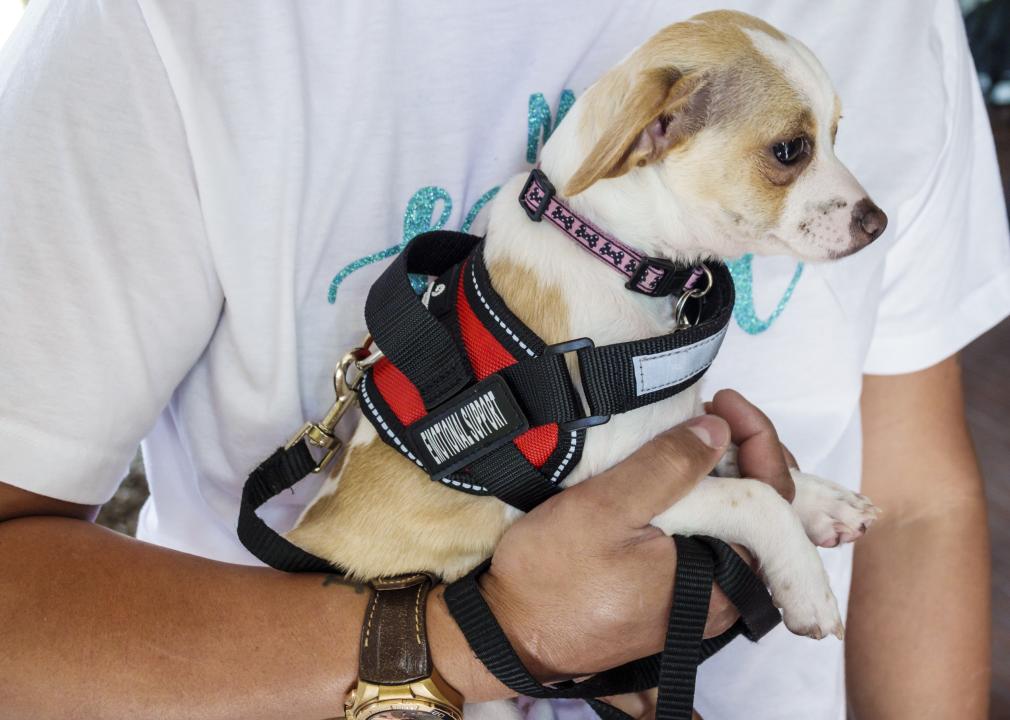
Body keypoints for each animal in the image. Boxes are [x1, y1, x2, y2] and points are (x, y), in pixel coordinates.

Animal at [286, 5, 884, 706]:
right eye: (791, 150)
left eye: (837, 133)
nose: (880, 222)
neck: (615, 256)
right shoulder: (610, 483)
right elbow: (754, 496)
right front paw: (806, 582)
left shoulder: (673, 425)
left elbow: (745, 460)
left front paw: (821, 502)